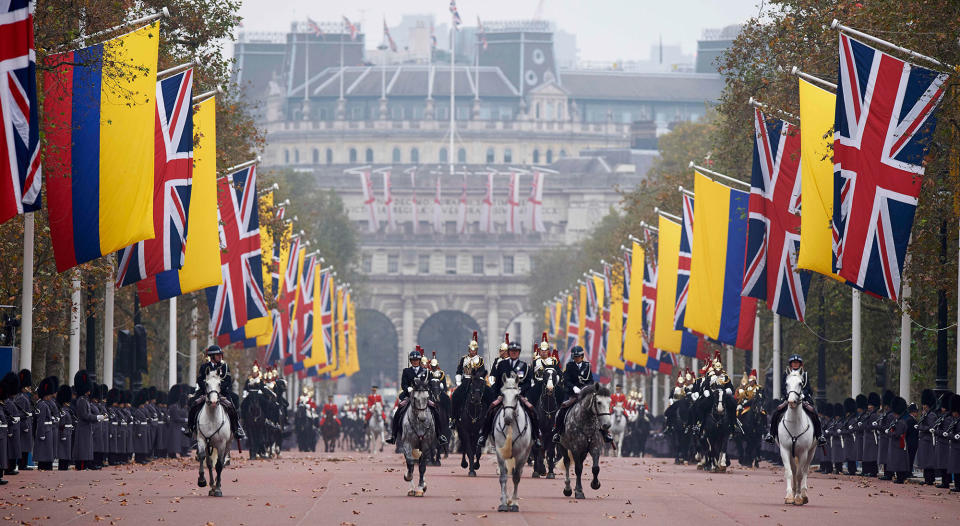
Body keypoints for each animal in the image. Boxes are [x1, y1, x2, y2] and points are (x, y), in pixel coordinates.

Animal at [196, 372, 232, 500]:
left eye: (220, 383)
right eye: (206, 383)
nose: (213, 402)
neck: (212, 418)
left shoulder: (222, 444)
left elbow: (220, 464)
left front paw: (218, 489)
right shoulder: (201, 440)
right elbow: (203, 458)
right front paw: (202, 481)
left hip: (227, 445)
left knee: (221, 462)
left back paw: (217, 484)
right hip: (209, 445)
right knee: (210, 463)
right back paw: (212, 486)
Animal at [496, 374, 532, 512]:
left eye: (517, 396)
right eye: (502, 394)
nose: (507, 418)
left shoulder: (521, 454)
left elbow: (516, 477)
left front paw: (515, 503)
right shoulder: (500, 452)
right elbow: (503, 476)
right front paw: (503, 503)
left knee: (518, 473)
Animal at [776, 372, 812, 508]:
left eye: (800, 383)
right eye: (786, 383)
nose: (791, 401)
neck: (795, 423)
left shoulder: (803, 452)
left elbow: (800, 474)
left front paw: (798, 498)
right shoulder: (784, 450)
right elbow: (789, 472)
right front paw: (789, 496)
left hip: (811, 451)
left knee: (805, 470)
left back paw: (804, 495)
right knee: (794, 469)